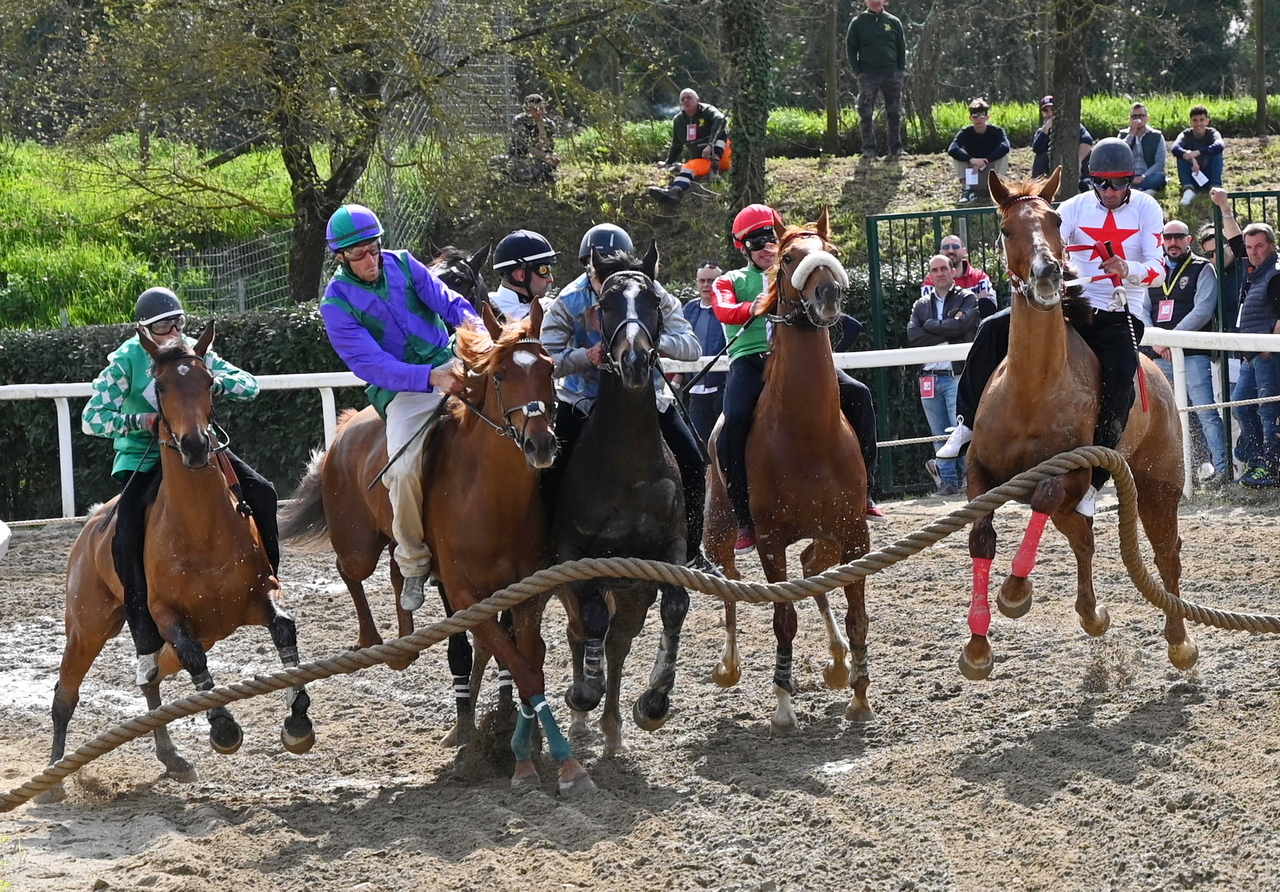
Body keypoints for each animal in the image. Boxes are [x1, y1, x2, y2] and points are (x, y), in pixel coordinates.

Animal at [282, 303, 591, 788]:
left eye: (549, 368)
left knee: (397, 569)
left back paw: (406, 634)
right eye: (500, 375)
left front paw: (533, 753)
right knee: (352, 571)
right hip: (357, 541)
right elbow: (523, 669)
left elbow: (529, 663)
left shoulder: (525, 592)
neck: (489, 497)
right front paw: (544, 758)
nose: (541, 443)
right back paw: (376, 639)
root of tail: (348, 425)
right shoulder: (467, 596)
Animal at [550, 241, 691, 752]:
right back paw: (581, 716)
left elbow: (675, 607)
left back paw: (612, 730)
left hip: (632, 589)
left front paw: (653, 701)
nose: (634, 360)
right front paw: (582, 692)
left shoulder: (668, 551)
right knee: (580, 631)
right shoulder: (573, 556)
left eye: (652, 301)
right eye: (607, 304)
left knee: (619, 642)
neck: (627, 468)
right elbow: (590, 620)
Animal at [706, 207, 875, 732]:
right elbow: (783, 620)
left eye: (833, 253)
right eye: (787, 257)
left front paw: (859, 696)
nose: (828, 295)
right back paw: (727, 666)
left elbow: (857, 615)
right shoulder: (769, 540)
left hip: (825, 536)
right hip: (719, 529)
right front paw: (783, 706)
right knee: (728, 588)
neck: (807, 438)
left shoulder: (854, 533)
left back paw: (838, 660)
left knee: (813, 572)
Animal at [962, 170, 1198, 680]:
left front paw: (1014, 593)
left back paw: (1180, 643)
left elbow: (1046, 494)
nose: (1049, 273)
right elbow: (981, 538)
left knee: (1166, 555)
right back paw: (1093, 615)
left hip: (1158, 485)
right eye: (1006, 229)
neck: (1032, 390)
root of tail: (1158, 379)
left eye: (1054, 221)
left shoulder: (1072, 471)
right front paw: (976, 647)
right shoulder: (980, 473)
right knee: (1084, 541)